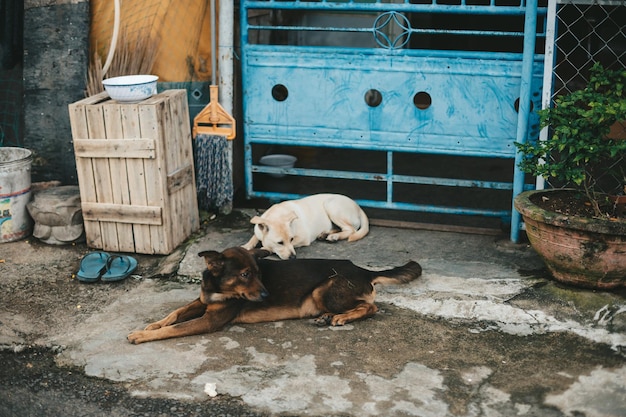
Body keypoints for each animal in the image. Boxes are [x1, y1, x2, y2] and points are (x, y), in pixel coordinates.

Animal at [126, 245, 420, 342]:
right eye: (246, 274)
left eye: (258, 273)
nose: (267, 296)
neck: (218, 286)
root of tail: (363, 270)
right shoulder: (202, 302)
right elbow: (175, 314)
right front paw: (153, 324)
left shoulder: (210, 320)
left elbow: (175, 328)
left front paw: (141, 335)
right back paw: (325, 318)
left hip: (324, 288)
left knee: (371, 307)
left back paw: (341, 318)